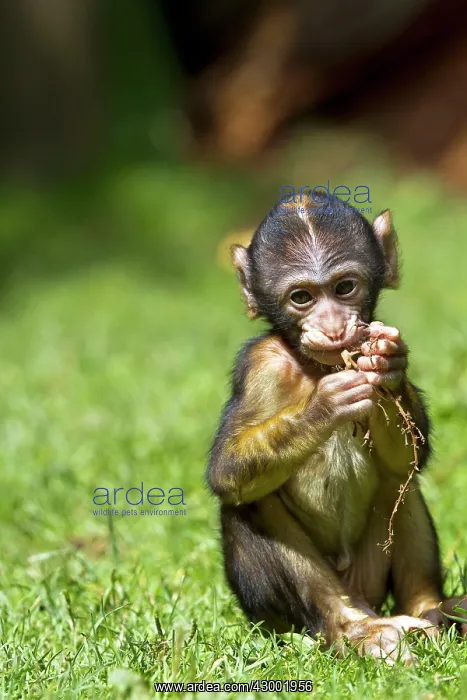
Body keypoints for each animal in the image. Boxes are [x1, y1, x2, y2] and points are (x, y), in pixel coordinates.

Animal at [206, 191, 467, 664]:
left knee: (398, 482)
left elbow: (410, 456)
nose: (331, 326)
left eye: (344, 287)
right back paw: (356, 631)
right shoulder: (260, 367)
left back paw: (433, 611)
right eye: (302, 297)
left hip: (368, 578)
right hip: (294, 615)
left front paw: (389, 368)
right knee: (250, 503)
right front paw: (325, 405)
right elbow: (227, 471)